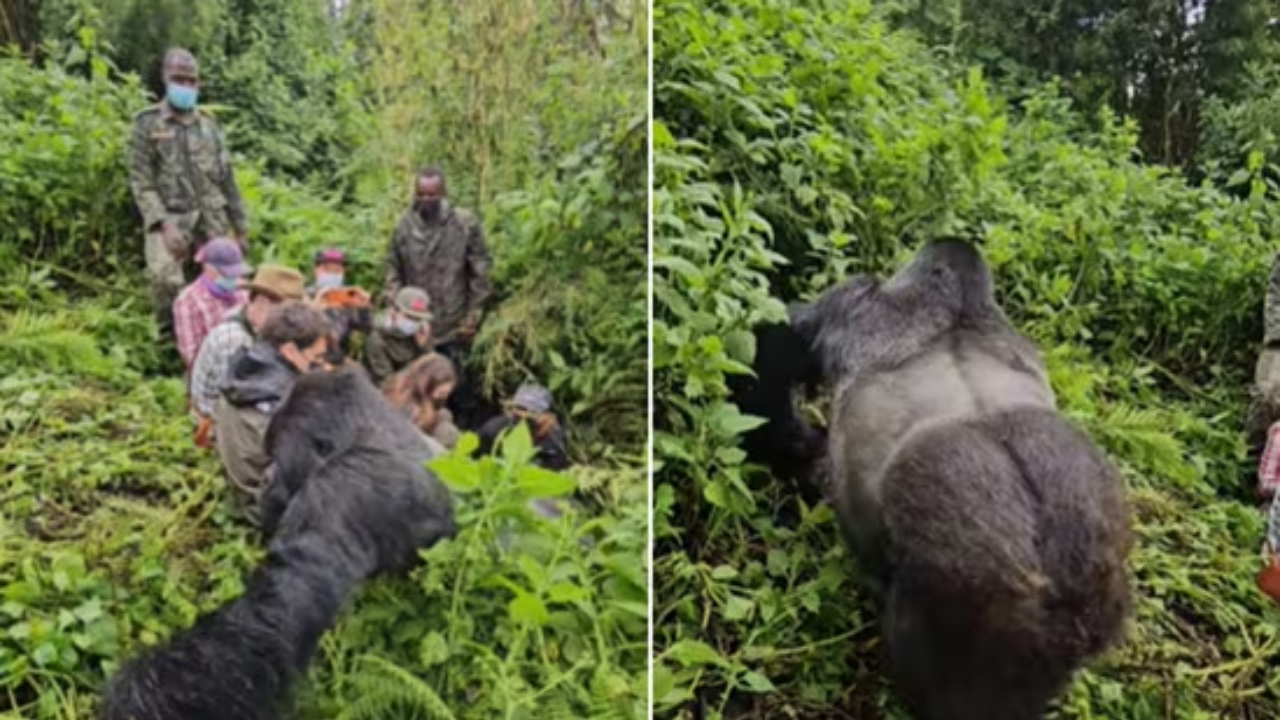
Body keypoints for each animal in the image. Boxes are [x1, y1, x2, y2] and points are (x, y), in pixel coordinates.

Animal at [102, 366, 458, 717]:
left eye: (276, 458)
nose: (264, 481)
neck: (372, 431)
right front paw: (252, 383)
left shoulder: (343, 485)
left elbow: (275, 617)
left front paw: (140, 690)